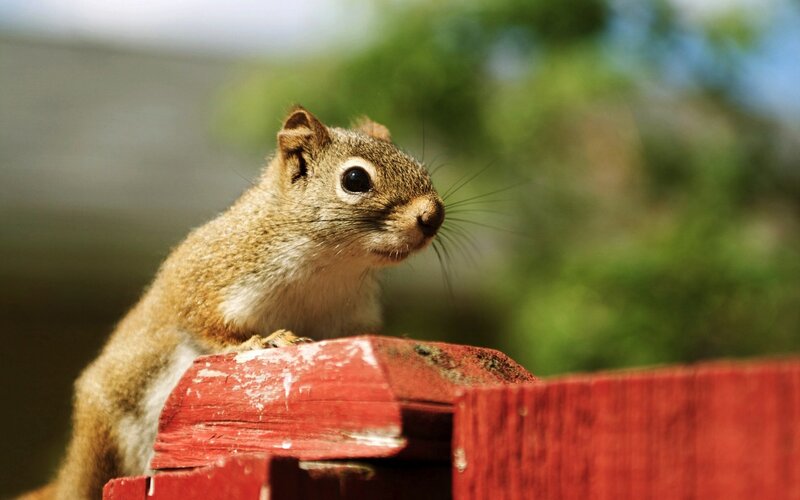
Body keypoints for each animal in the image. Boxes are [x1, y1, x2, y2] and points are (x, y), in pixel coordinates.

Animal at [23, 107, 445, 500]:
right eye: (355, 179)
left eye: (419, 166)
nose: (433, 215)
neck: (330, 266)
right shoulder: (206, 279)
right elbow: (204, 325)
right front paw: (261, 341)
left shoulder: (350, 318)